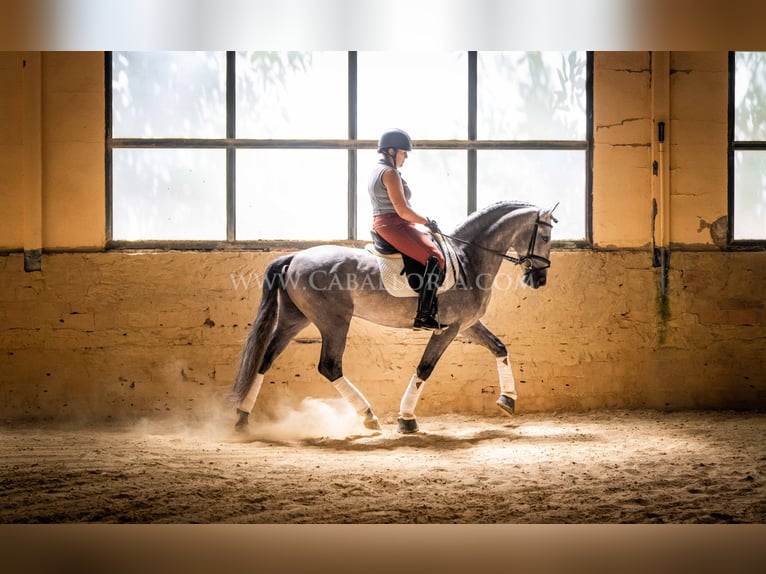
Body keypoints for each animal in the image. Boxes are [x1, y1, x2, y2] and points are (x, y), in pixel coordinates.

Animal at [230, 200, 560, 434]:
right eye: (545, 236)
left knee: (266, 358)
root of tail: (295, 256)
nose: (539, 280)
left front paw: (508, 400)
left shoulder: (466, 325)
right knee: (329, 366)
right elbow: (425, 367)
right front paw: (407, 419)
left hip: (295, 318)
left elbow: (499, 347)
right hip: (334, 321)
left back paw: (243, 417)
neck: (468, 258)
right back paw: (368, 416)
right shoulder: (447, 329)